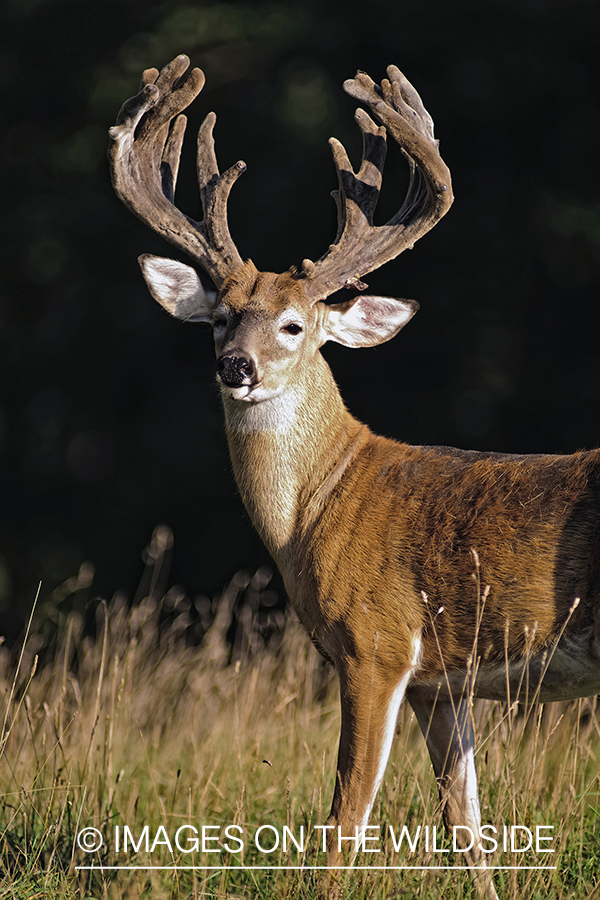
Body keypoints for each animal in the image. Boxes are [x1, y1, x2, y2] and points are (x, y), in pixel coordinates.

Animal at [110, 58, 600, 900]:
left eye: (294, 324)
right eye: (219, 317)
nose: (235, 366)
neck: (323, 502)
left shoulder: (377, 643)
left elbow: (345, 816)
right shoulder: (443, 681)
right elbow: (465, 827)